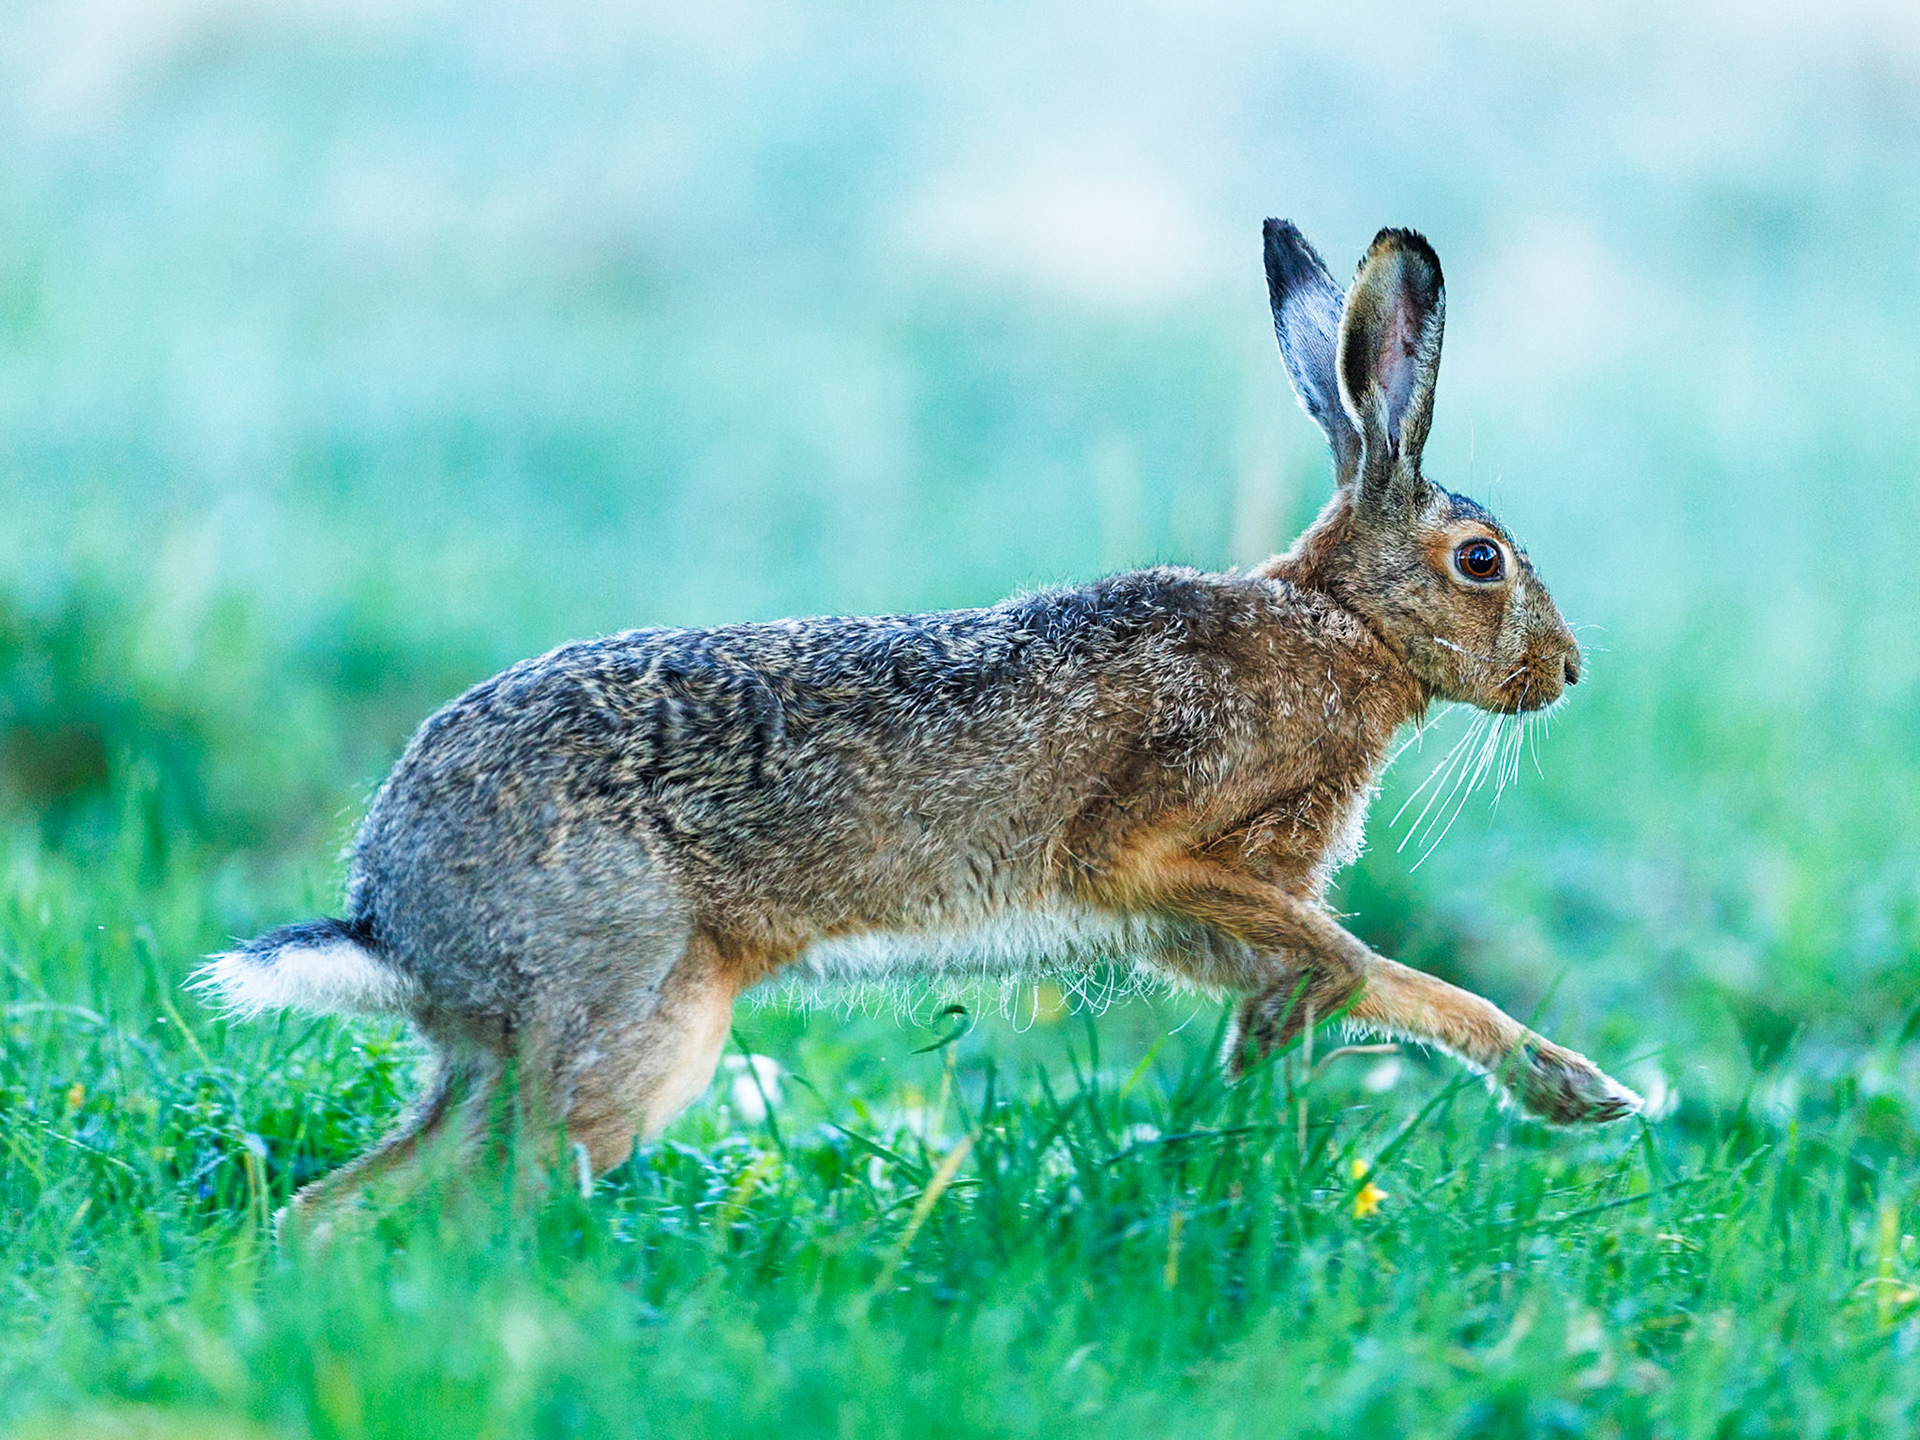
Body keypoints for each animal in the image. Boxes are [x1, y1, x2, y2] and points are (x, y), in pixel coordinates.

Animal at [193, 219, 1641, 1231]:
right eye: (1481, 563)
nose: (1566, 672)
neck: (1343, 626)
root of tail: (396, 908)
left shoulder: (1209, 912)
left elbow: (1416, 986)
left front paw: (1583, 1094)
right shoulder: (1147, 853)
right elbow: (1346, 958)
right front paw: (1263, 1047)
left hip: (515, 1053)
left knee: (350, 1205)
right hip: (631, 1024)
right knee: (471, 1203)